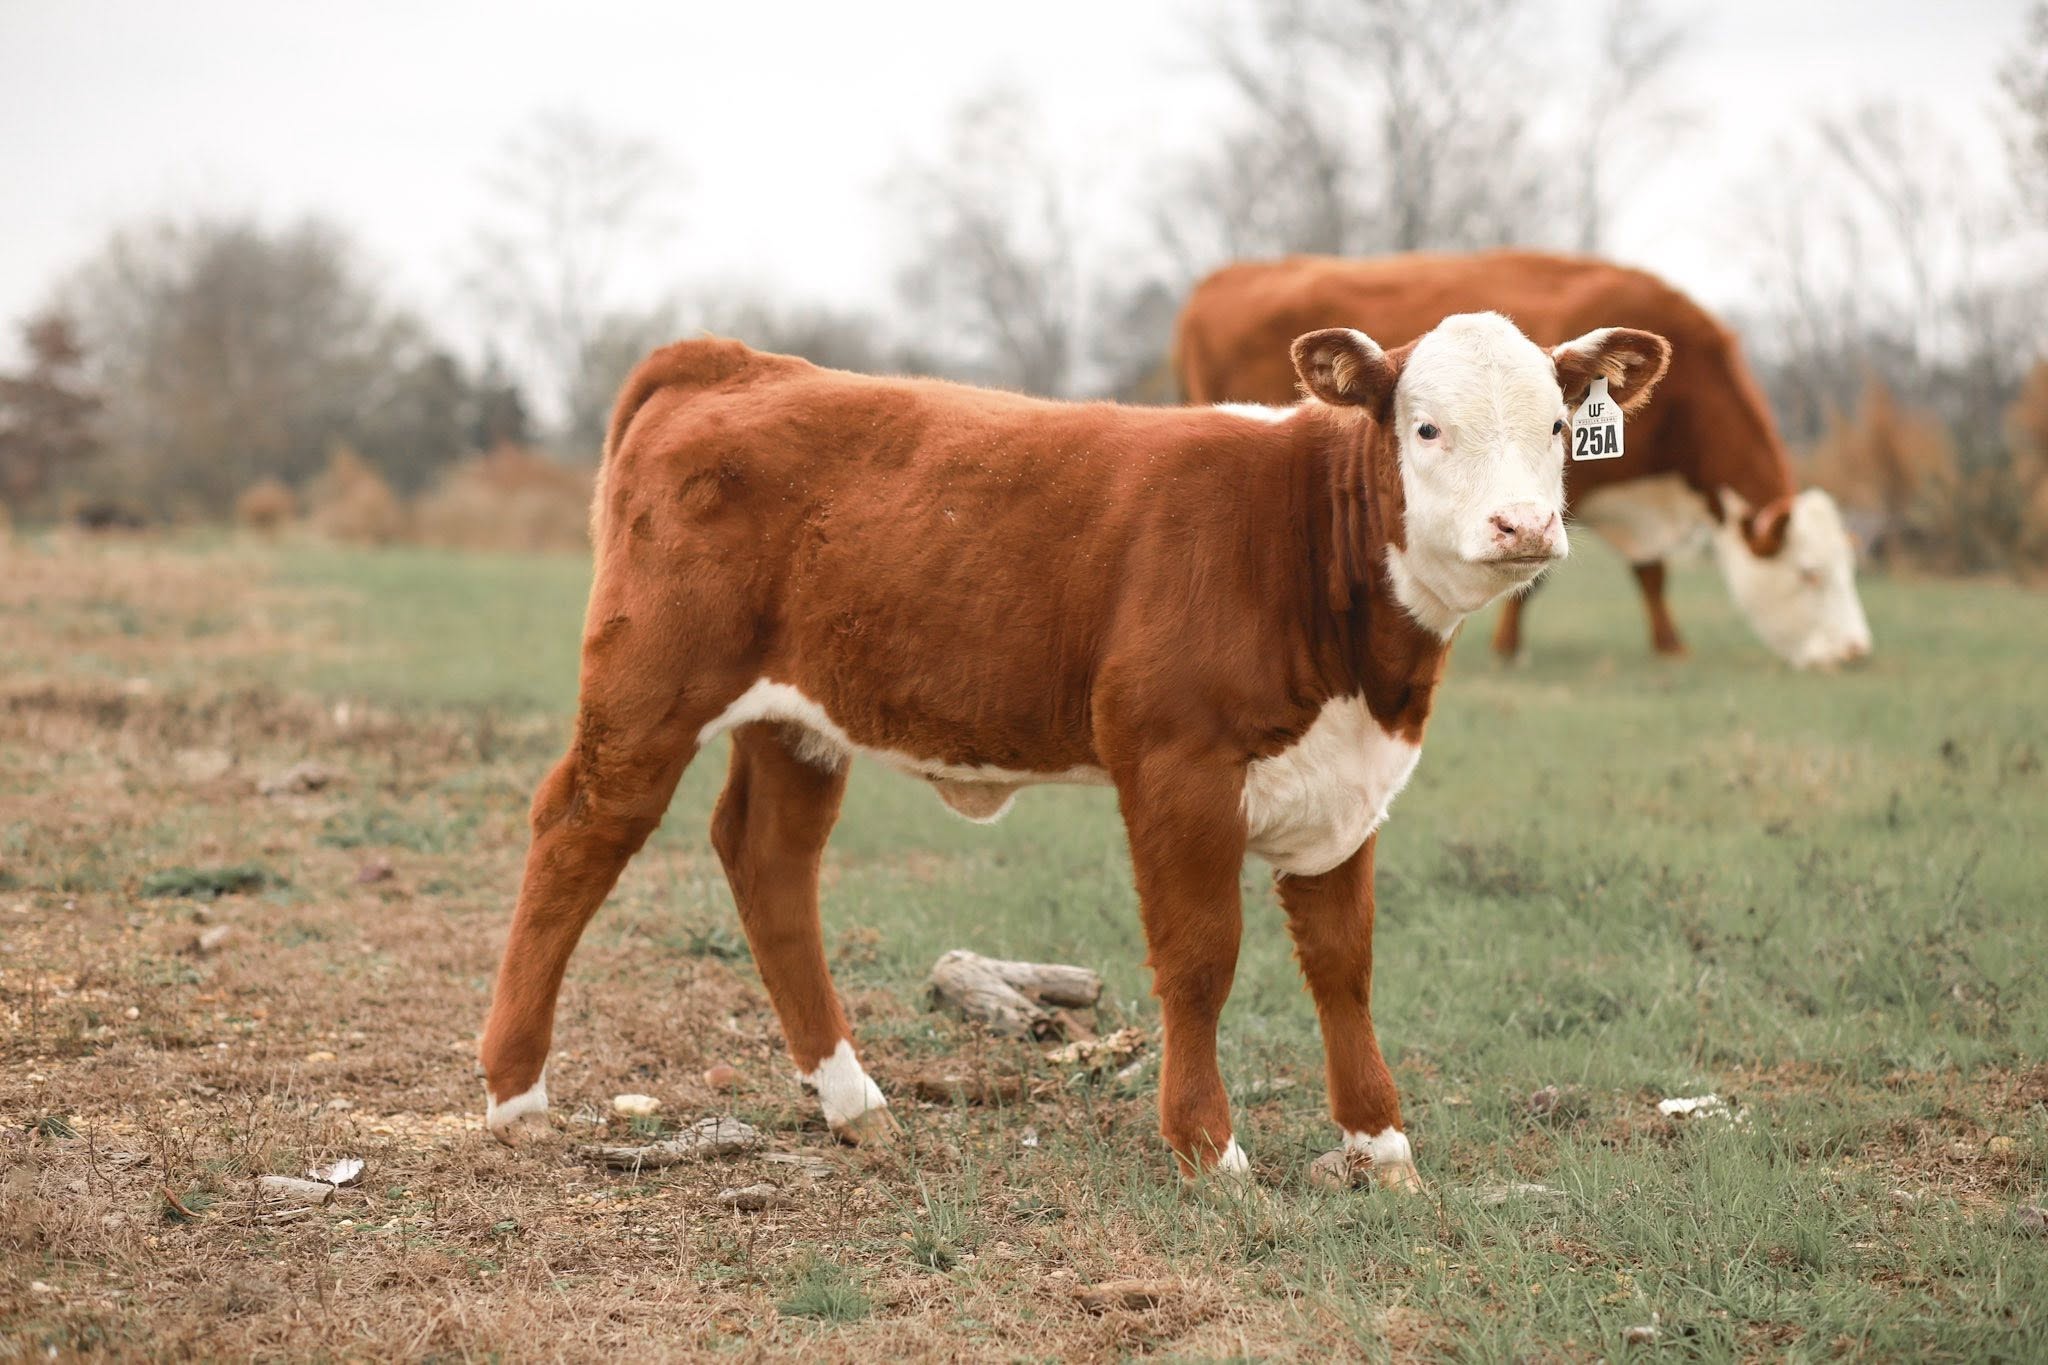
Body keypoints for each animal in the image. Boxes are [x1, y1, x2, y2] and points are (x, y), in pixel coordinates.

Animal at [477, 312, 1671, 1188]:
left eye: (1557, 426)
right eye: (1424, 429)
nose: (1523, 526)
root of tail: (733, 361)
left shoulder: (1348, 785)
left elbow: (1344, 963)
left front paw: (1378, 1146)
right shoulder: (1175, 765)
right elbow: (1200, 957)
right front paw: (1208, 1149)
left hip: (799, 720)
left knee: (768, 860)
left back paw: (853, 1102)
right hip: (649, 686)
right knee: (579, 830)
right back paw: (514, 1093)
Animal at [1174, 251, 1872, 669]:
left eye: (1559, 425)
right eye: (1810, 574)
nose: (1854, 652)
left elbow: (1649, 573)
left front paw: (1669, 645)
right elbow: (1546, 581)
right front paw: (1511, 650)